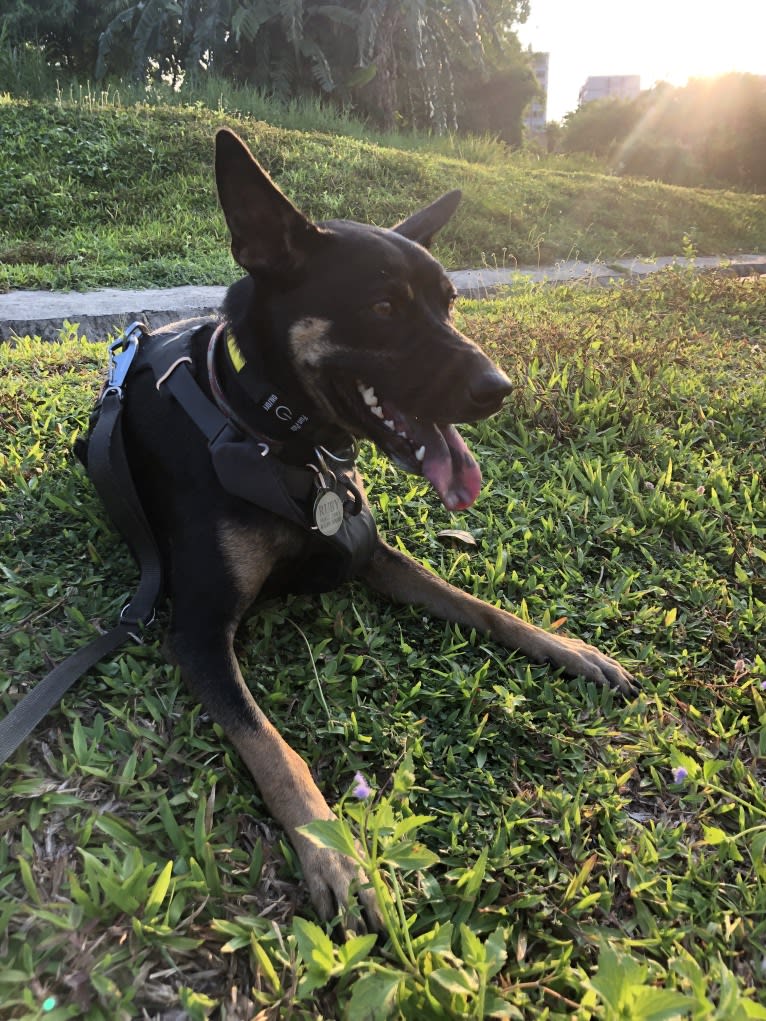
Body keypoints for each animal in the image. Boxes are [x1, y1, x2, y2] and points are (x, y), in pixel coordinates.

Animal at [81, 129, 637, 927]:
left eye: (449, 303)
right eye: (381, 306)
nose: (500, 388)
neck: (274, 432)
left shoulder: (369, 549)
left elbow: (480, 605)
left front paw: (571, 648)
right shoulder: (196, 630)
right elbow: (275, 748)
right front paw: (337, 858)